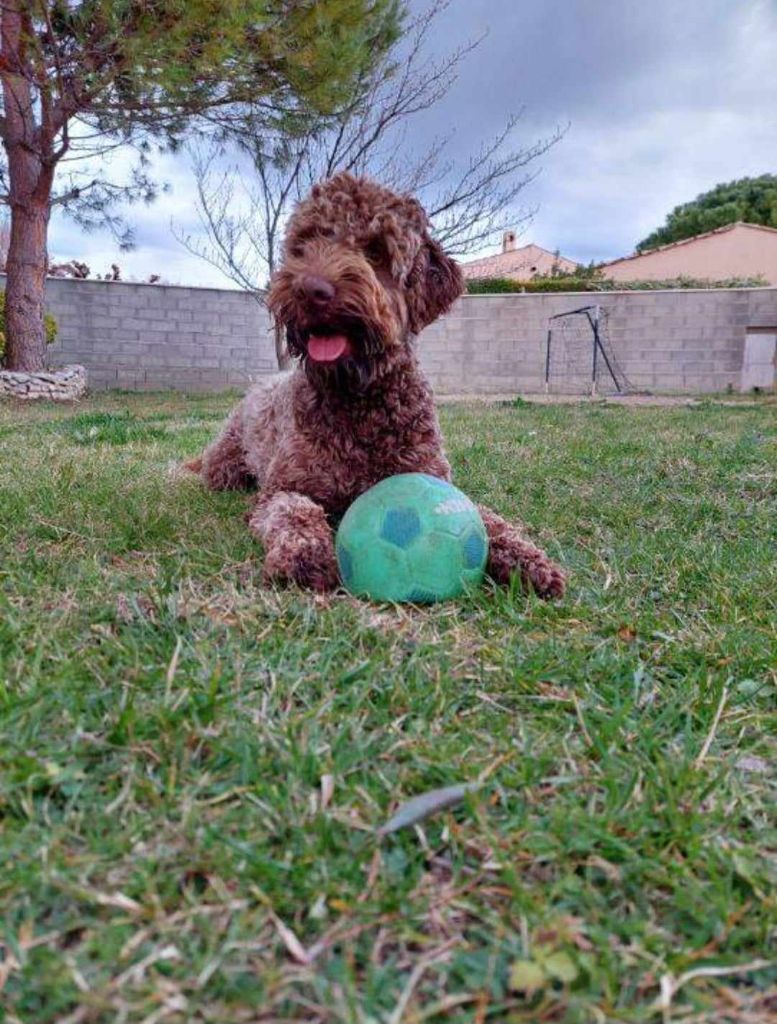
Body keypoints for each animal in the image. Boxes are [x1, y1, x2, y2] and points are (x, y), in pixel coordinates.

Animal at [189, 171, 565, 598]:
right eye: (304, 244)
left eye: (375, 250)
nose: (310, 290)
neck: (360, 402)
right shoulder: (282, 487)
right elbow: (294, 511)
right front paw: (305, 555)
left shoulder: (431, 475)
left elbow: (490, 520)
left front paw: (529, 559)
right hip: (226, 466)